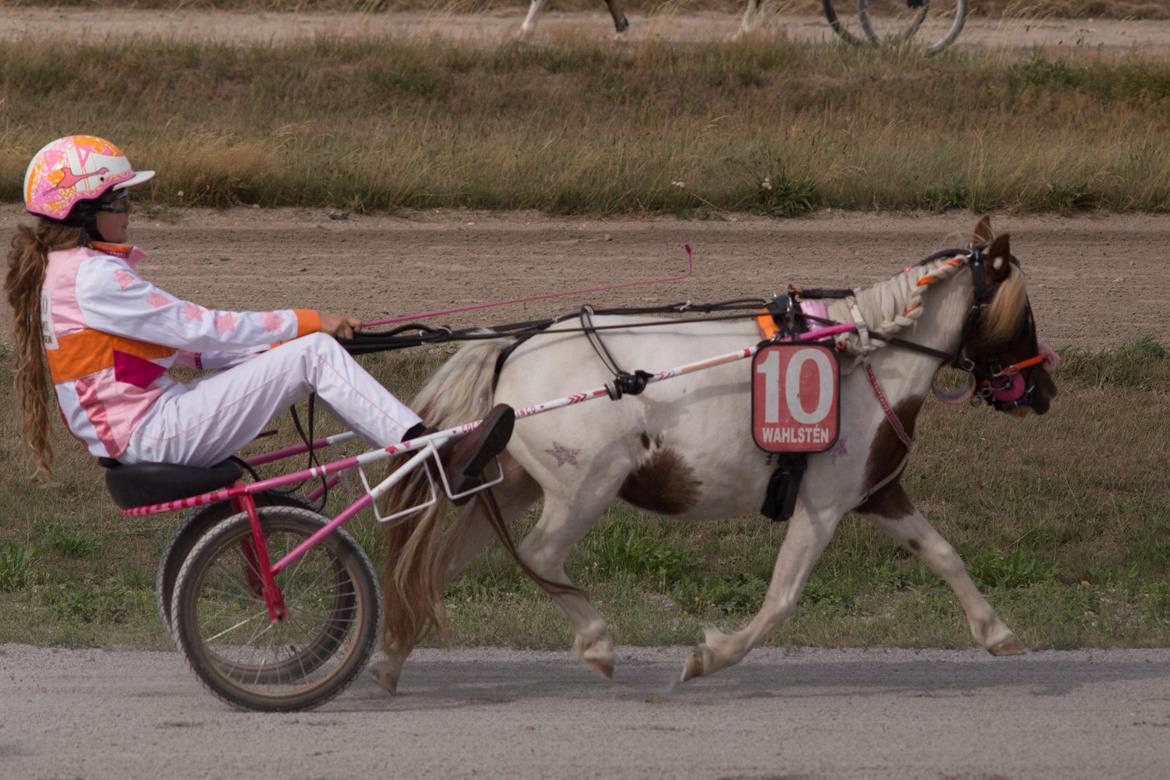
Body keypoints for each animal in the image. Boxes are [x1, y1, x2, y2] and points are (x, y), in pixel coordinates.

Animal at [372, 216, 1062, 692]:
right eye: (1023, 312)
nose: (1045, 389)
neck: (867, 355)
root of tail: (515, 348)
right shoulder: (824, 503)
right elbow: (782, 599)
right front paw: (711, 656)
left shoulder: (876, 493)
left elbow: (942, 554)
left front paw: (998, 632)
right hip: (583, 489)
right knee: (539, 555)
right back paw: (595, 642)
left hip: (515, 483)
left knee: (440, 562)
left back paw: (389, 658)